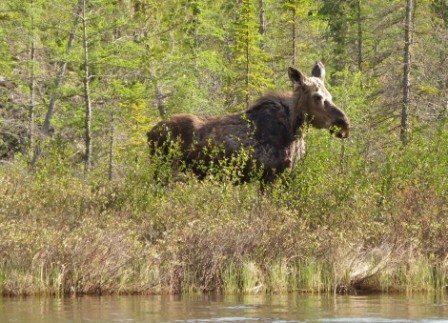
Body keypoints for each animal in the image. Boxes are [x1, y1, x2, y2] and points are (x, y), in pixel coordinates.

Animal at [147, 62, 350, 185]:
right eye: (317, 97)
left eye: (330, 95)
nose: (343, 123)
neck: (293, 131)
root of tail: (149, 133)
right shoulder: (270, 177)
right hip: (164, 171)